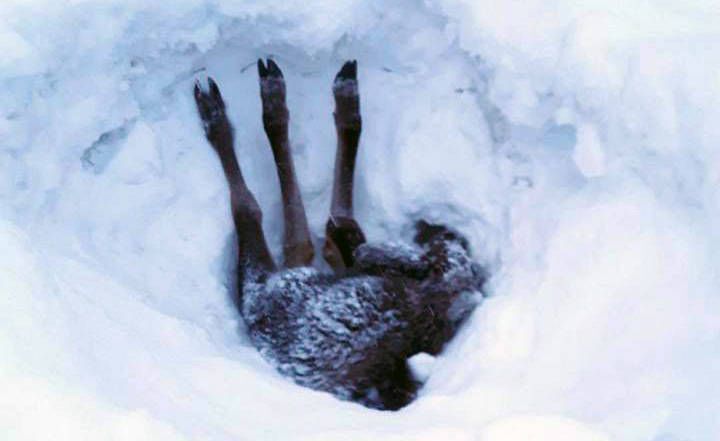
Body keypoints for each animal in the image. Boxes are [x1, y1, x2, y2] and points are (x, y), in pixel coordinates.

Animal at [193, 59, 486, 410]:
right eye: (450, 241)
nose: (439, 228)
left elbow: (256, 210)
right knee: (323, 236)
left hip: (273, 282)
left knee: (265, 217)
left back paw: (249, 107)